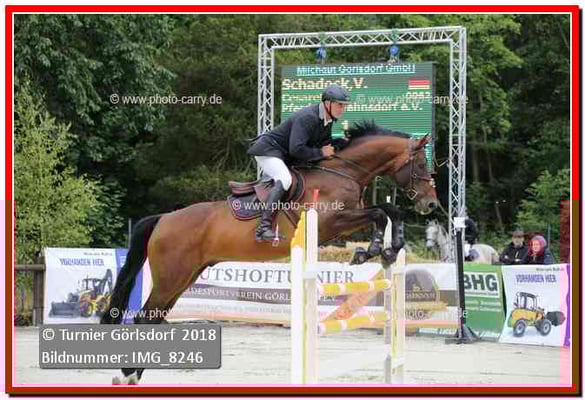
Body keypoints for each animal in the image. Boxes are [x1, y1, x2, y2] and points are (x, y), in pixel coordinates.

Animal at [101, 121, 438, 384]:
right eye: (421, 166)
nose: (431, 204)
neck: (342, 172)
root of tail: (164, 219)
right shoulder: (330, 222)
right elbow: (380, 213)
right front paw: (372, 250)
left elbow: (389, 210)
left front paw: (389, 249)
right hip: (171, 278)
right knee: (143, 319)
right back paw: (128, 374)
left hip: (183, 278)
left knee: (153, 320)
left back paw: (135, 374)